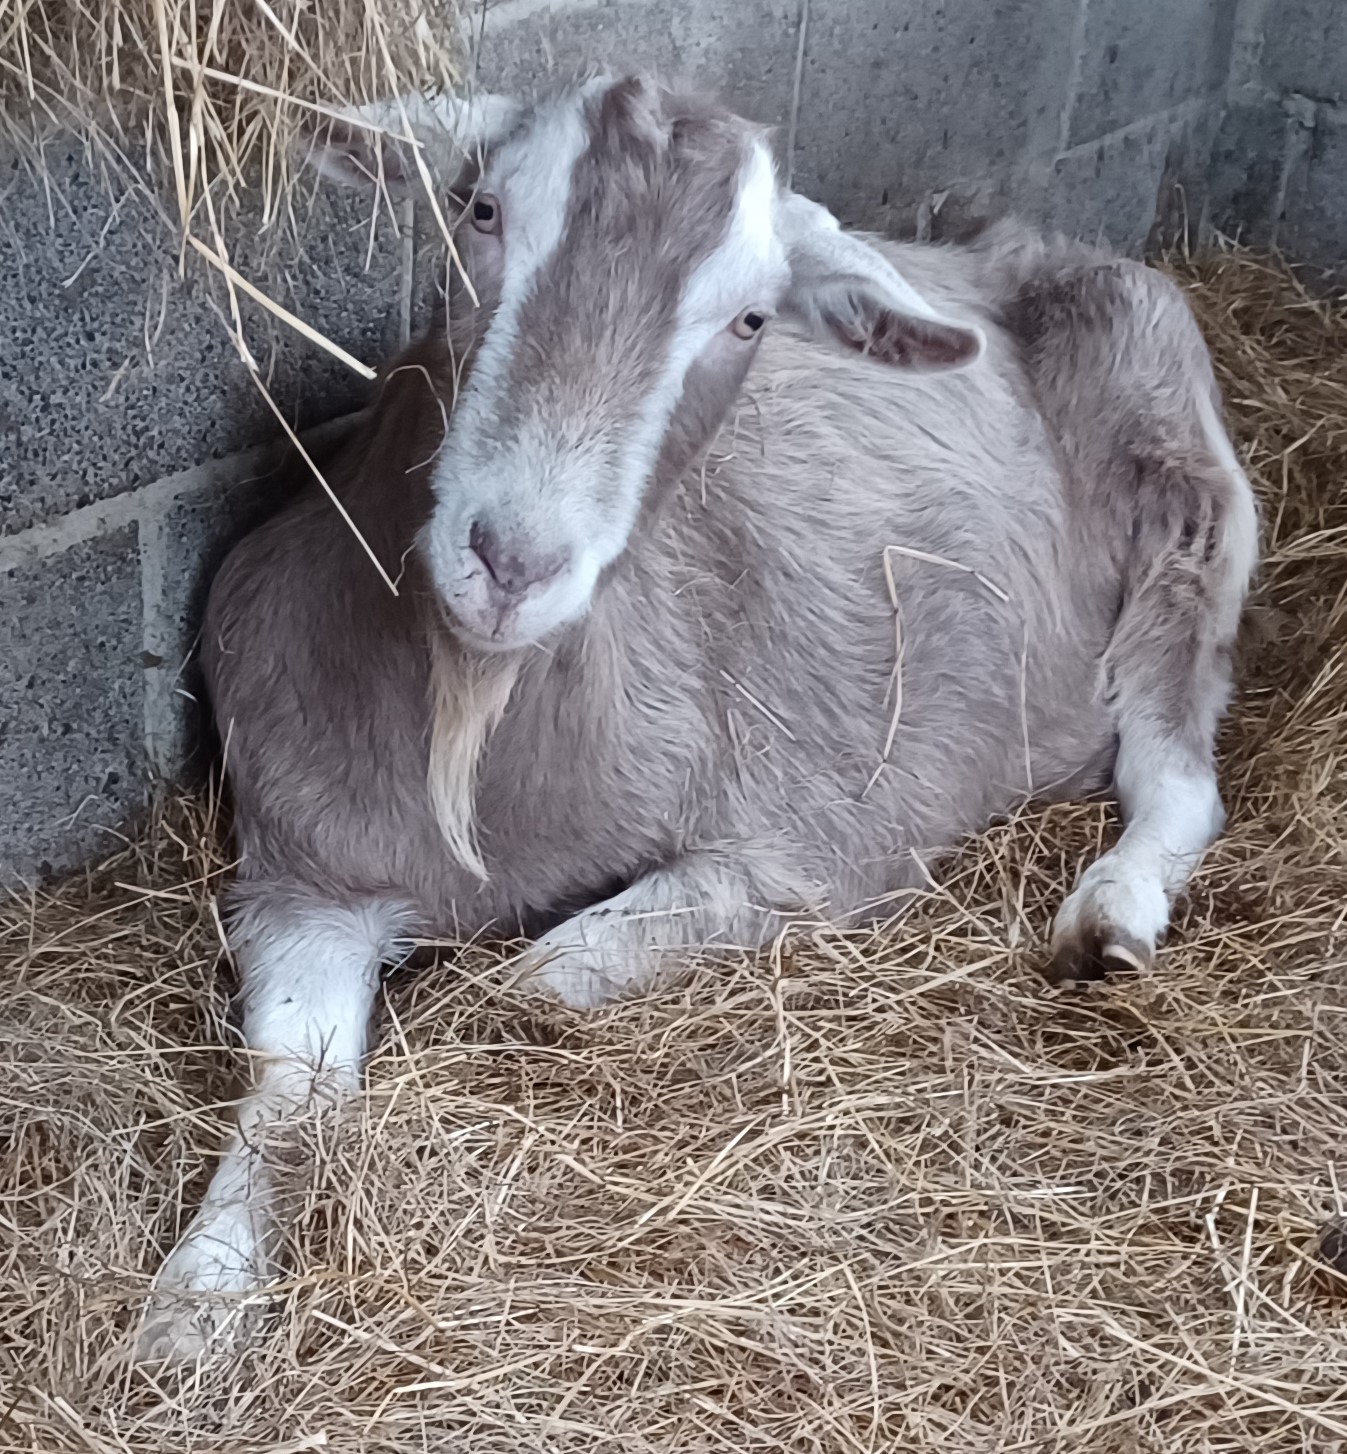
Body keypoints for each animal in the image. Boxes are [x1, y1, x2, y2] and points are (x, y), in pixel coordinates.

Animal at [136, 74, 1258, 1362]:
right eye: (480, 208)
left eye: (752, 318)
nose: (512, 559)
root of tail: (1002, 250)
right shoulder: (301, 868)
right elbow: (294, 1090)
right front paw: (193, 1304)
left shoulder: (820, 840)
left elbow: (542, 975)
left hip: (1187, 485)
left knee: (1178, 763)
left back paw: (1109, 914)